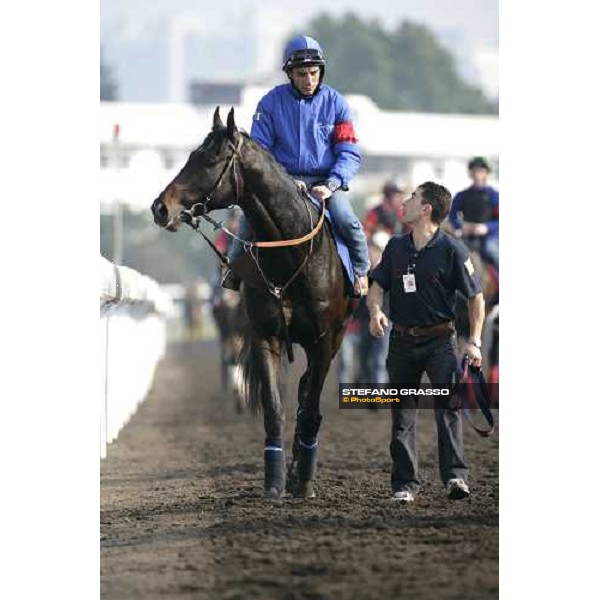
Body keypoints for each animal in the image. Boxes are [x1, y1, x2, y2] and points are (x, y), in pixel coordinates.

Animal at [150, 106, 354, 496]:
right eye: (190, 155)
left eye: (210, 159)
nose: (160, 208)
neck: (292, 255)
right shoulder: (264, 335)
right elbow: (274, 408)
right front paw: (274, 481)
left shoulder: (323, 341)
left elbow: (310, 409)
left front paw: (304, 480)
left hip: (334, 338)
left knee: (307, 397)